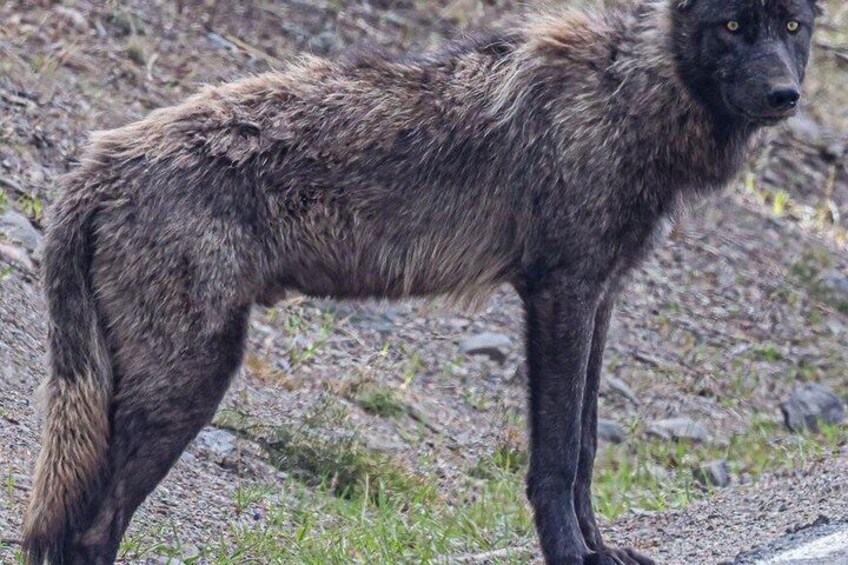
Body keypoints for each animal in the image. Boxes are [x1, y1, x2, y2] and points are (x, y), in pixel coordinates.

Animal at [22, 0, 819, 563]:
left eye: (791, 24)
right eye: (733, 25)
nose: (786, 95)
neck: (627, 93)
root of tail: (94, 163)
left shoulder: (601, 299)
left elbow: (588, 448)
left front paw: (601, 550)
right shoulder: (560, 296)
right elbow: (558, 455)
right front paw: (570, 555)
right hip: (187, 384)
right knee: (88, 533)